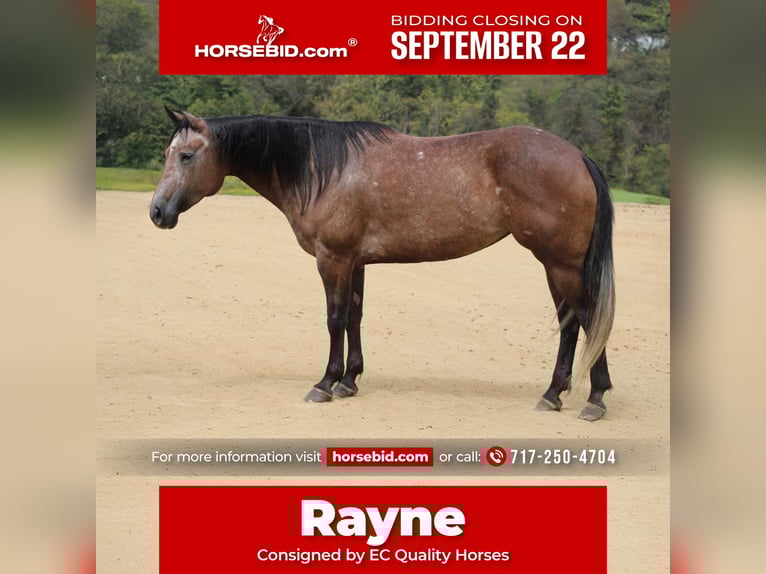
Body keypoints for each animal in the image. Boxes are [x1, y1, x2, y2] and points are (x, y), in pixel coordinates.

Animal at [150, 108, 615, 421]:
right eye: (169, 153)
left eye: (186, 155)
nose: (157, 212)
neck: (322, 168)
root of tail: (577, 156)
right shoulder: (355, 261)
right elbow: (355, 316)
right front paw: (349, 380)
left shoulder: (333, 259)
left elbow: (335, 319)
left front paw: (325, 383)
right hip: (554, 264)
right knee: (571, 324)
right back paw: (553, 394)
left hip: (561, 263)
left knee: (588, 318)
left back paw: (594, 399)